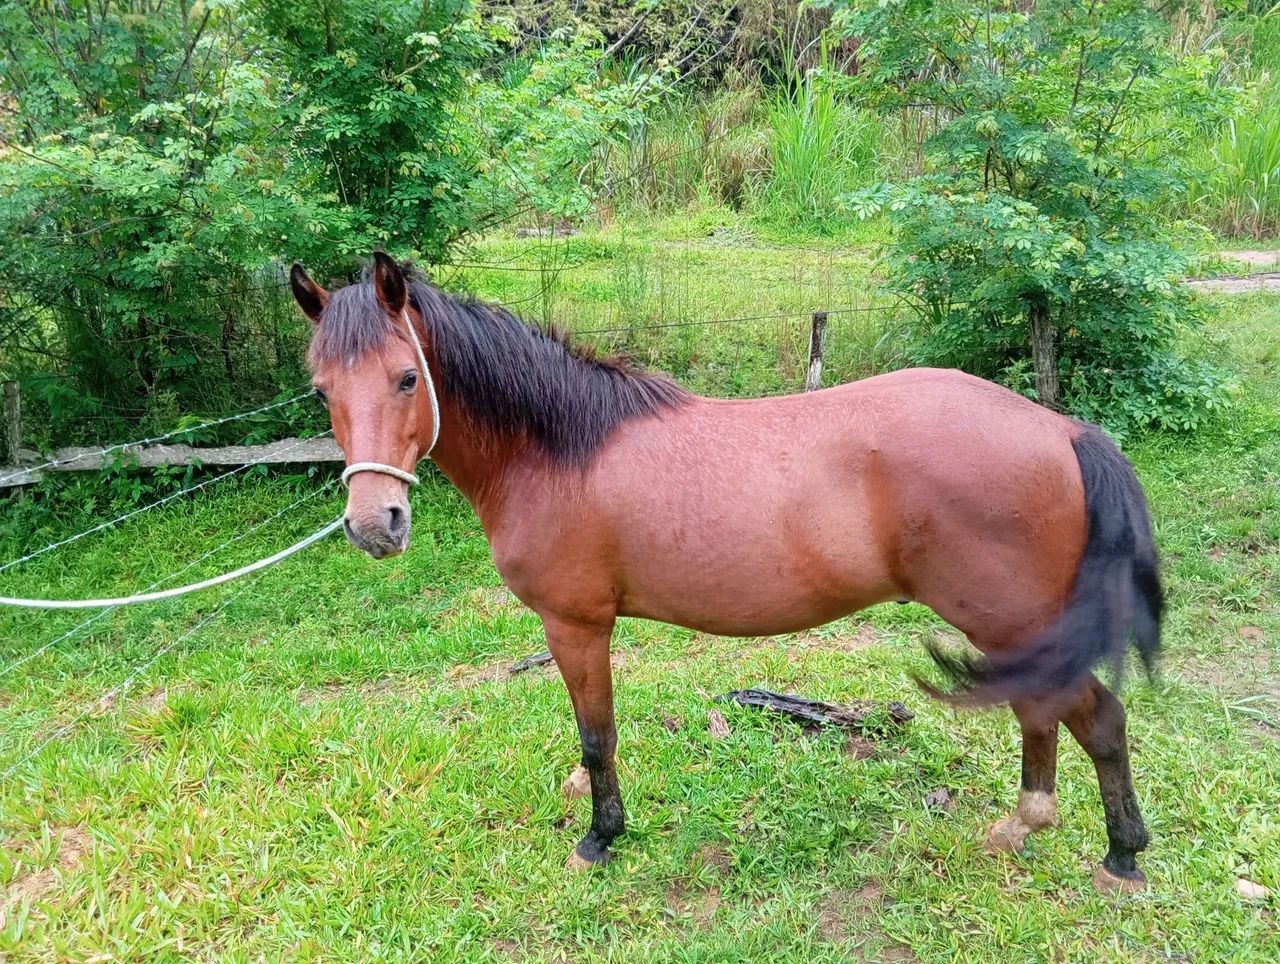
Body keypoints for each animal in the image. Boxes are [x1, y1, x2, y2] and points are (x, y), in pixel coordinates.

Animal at [293, 252, 1162, 894]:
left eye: (407, 378)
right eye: (322, 389)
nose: (374, 525)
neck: (558, 450)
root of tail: (1062, 429)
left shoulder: (576, 626)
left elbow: (596, 738)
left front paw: (600, 837)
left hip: (1008, 619)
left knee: (1097, 719)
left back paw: (1119, 855)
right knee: (1041, 711)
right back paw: (1023, 827)